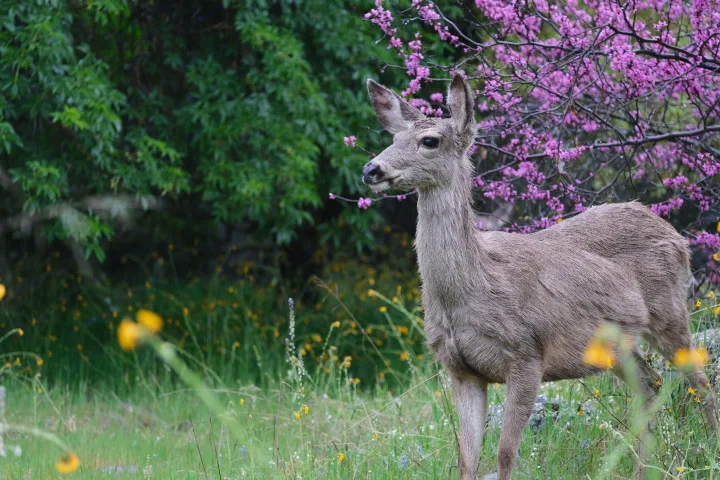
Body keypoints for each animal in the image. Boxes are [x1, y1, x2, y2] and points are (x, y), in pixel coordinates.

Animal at [361, 74, 718, 480]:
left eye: (430, 140)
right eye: (393, 137)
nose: (371, 170)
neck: (470, 288)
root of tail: (673, 232)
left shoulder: (527, 355)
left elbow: (505, 454)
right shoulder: (460, 370)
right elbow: (467, 460)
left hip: (670, 311)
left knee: (700, 382)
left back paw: (709, 452)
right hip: (618, 344)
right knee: (650, 383)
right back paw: (645, 470)